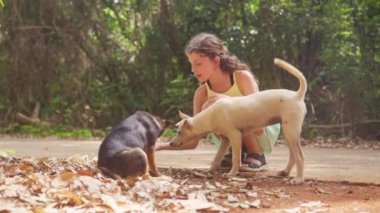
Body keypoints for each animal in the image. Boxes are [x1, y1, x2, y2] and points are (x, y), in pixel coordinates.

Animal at [171, 58, 308, 185]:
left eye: (179, 132)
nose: (171, 144)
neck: (209, 116)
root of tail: (297, 95)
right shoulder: (226, 141)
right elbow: (217, 156)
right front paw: (211, 170)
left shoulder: (235, 136)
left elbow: (236, 158)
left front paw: (231, 174)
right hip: (288, 131)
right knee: (293, 155)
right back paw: (285, 172)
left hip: (291, 131)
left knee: (300, 156)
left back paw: (298, 179)